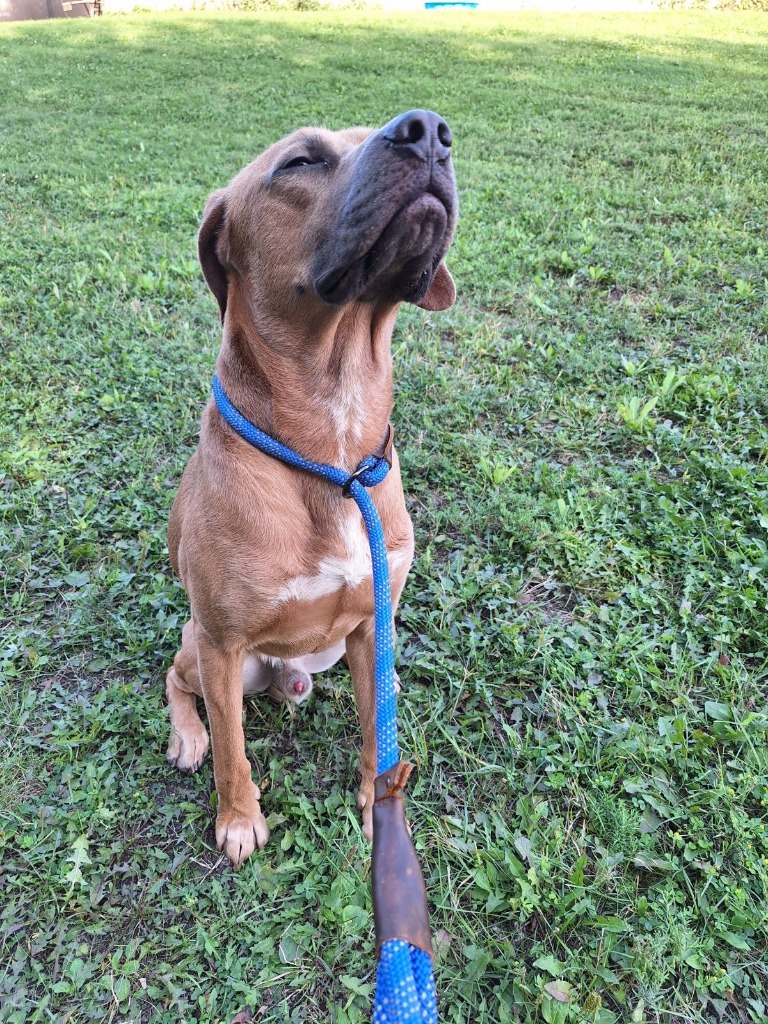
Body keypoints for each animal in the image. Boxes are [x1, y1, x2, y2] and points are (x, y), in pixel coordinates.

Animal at [165, 110, 456, 864]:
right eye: (299, 161)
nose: (428, 131)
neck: (333, 450)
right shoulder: (220, 644)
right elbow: (233, 752)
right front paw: (239, 819)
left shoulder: (372, 623)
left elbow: (377, 735)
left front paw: (379, 807)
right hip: (207, 652)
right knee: (179, 680)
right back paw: (187, 734)